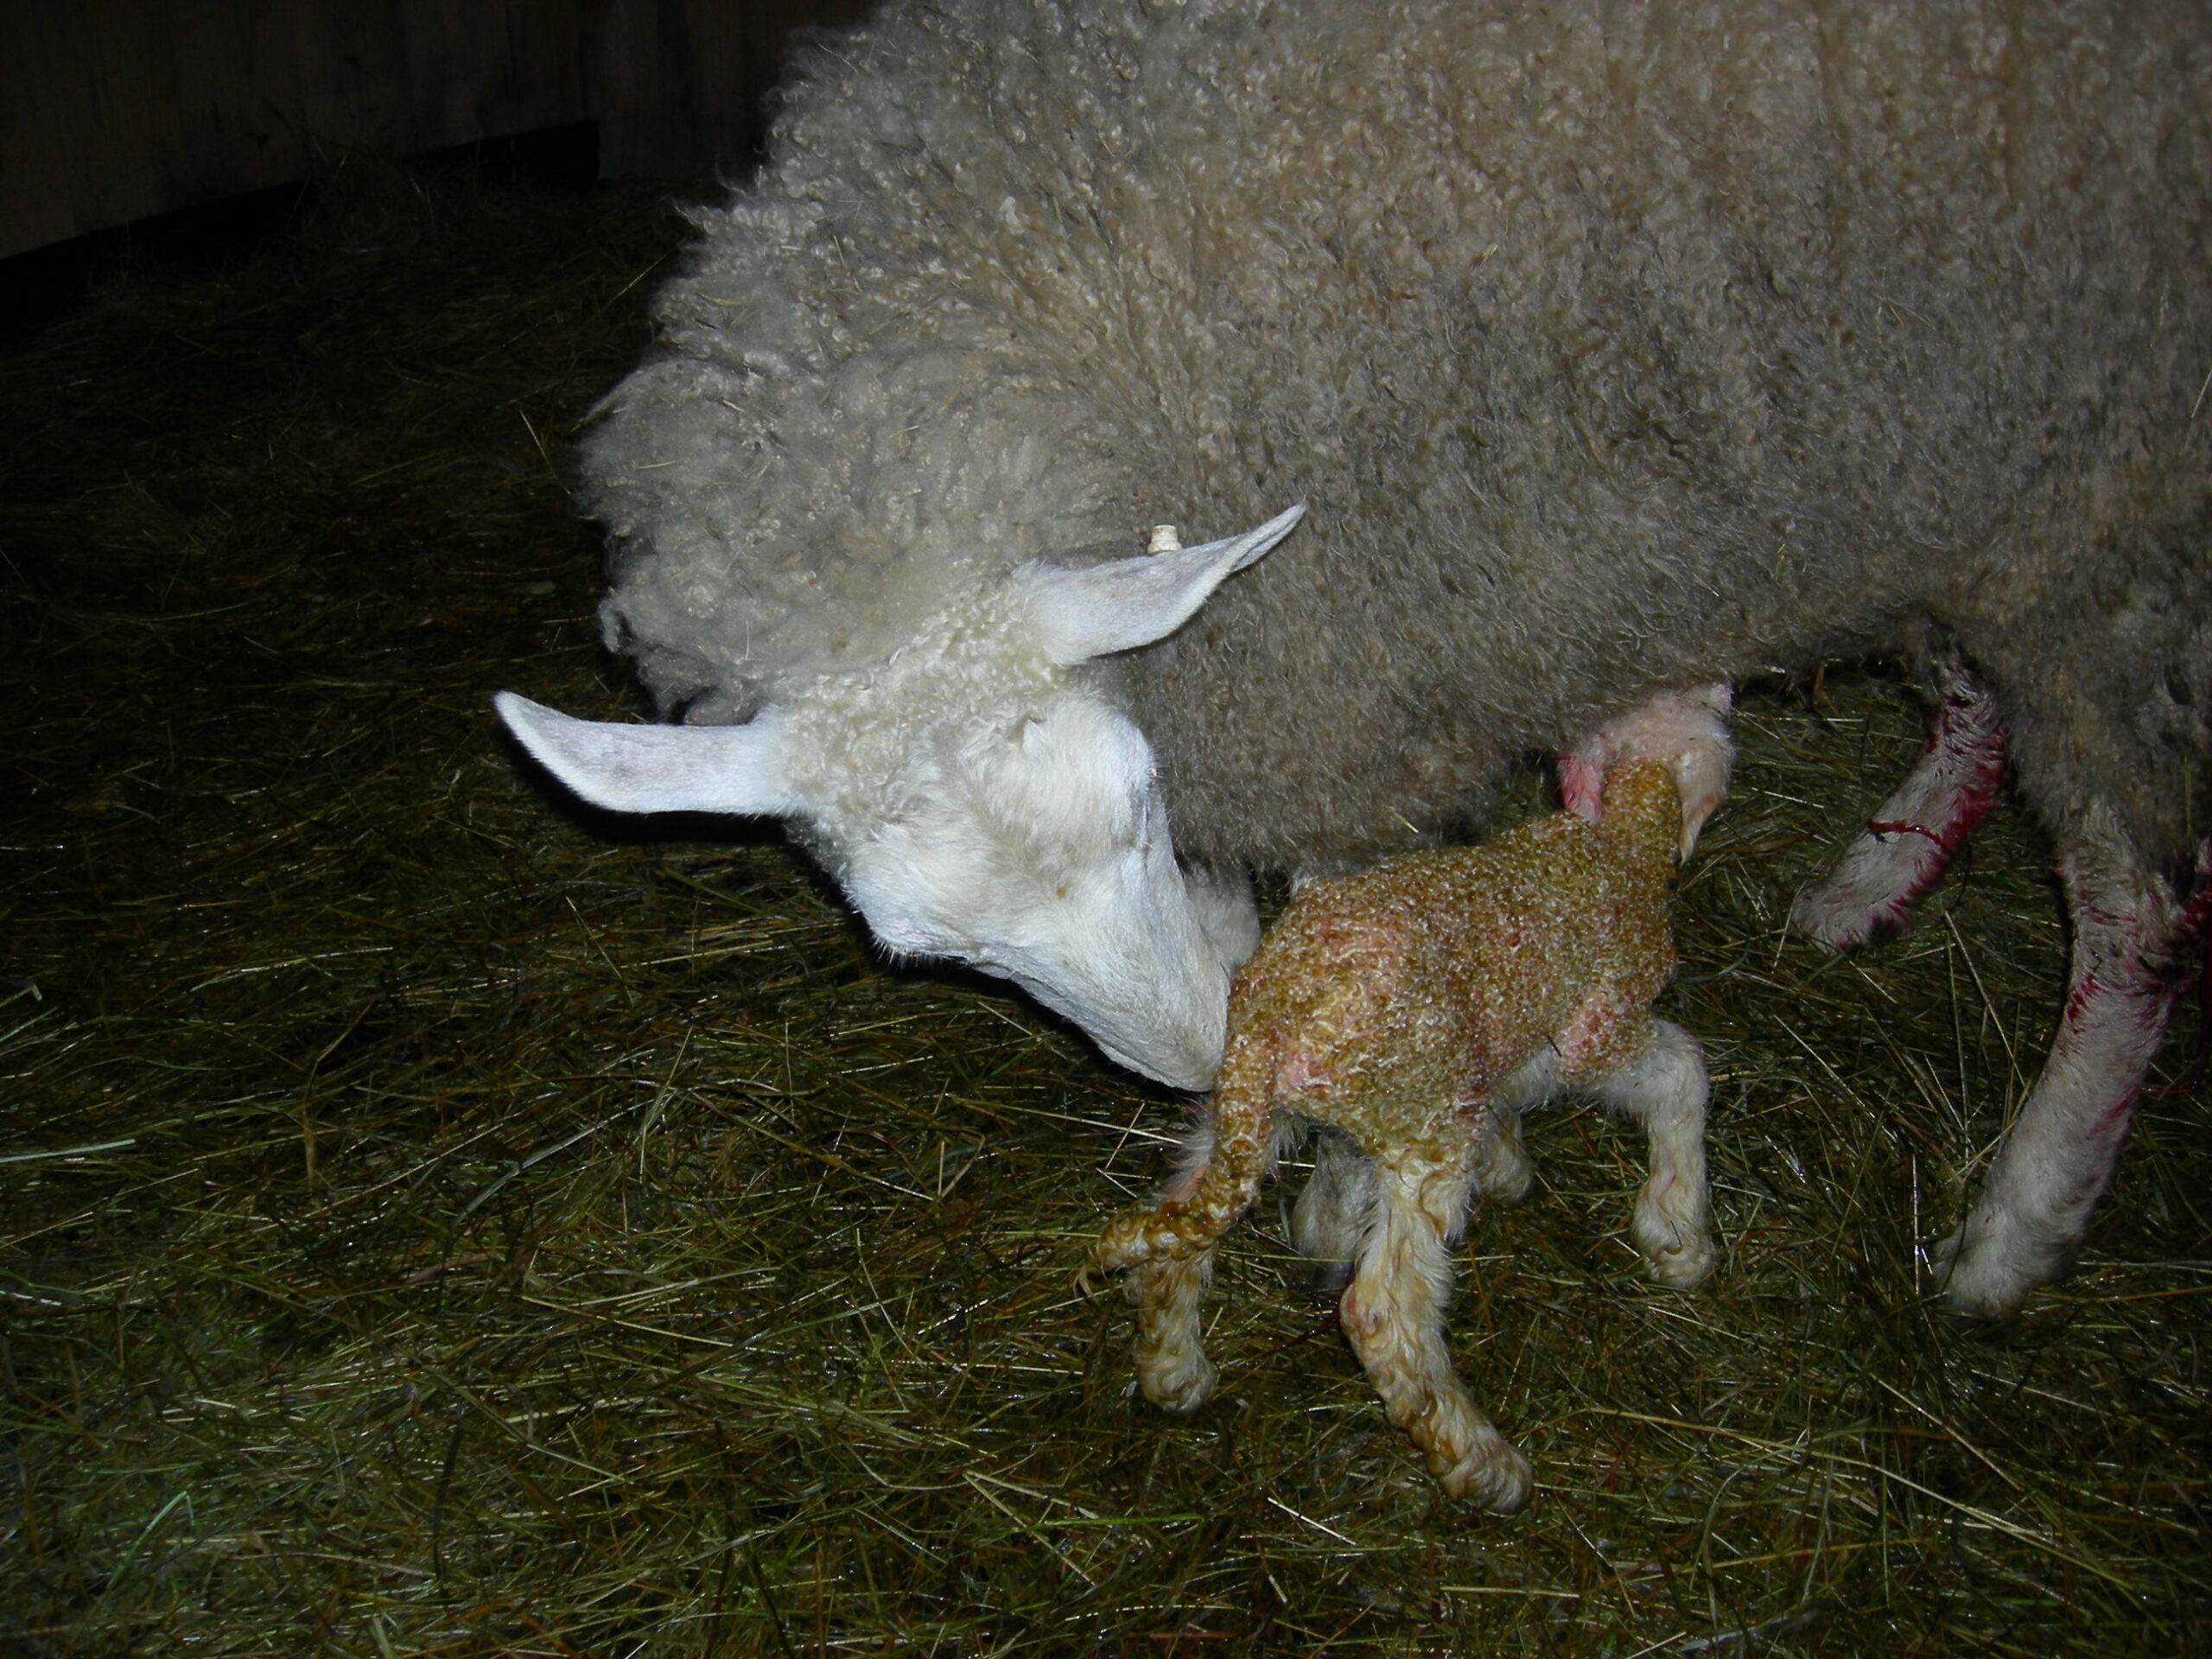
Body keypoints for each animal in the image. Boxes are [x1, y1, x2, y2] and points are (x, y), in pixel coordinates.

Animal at [494, 0, 2212, 1318]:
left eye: (1139, 799)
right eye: (918, 950)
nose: (1196, 1058)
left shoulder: (1347, 690)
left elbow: (1338, 924)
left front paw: (1320, 1170)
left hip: (2115, 534)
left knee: (2137, 907)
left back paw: (2020, 1219)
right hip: (1959, 485)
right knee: (1980, 694)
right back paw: (1880, 873)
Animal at [1087, 690, 1731, 1510]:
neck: (1614, 840)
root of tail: (1278, 1016)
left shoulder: (1506, 1049)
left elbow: (1507, 1102)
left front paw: (1508, 1167)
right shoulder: (1594, 1032)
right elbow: (1682, 1072)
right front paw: (1679, 1234)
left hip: (1260, 1113)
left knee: (1182, 1222)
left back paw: (1173, 1372)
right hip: (1427, 1129)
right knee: (1383, 1311)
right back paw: (1483, 1463)